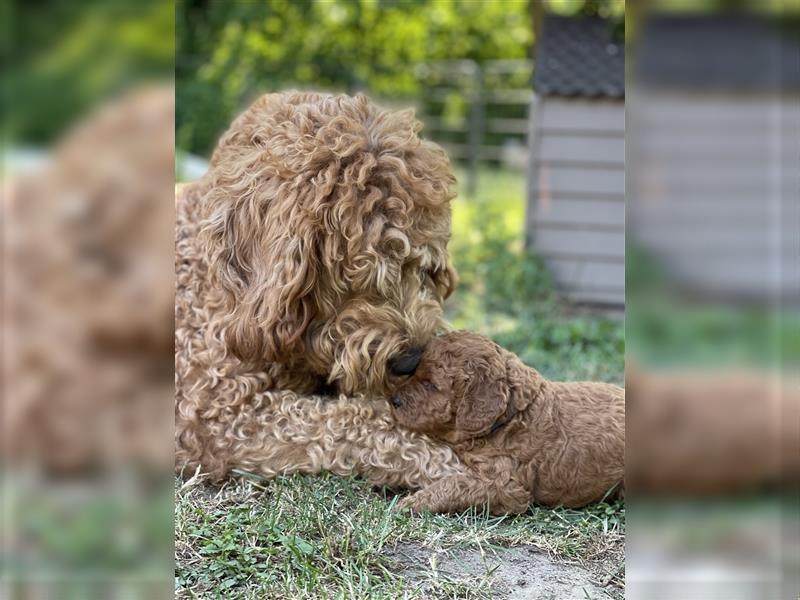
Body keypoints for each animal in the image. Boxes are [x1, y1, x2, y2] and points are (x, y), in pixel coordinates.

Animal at [174, 92, 466, 488]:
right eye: (354, 273)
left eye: (422, 265)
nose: (411, 361)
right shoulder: (216, 413)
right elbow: (346, 422)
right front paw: (445, 454)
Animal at [388, 330, 624, 512]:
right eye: (415, 373)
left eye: (430, 384)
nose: (393, 400)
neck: (511, 416)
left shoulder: (506, 486)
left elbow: (456, 484)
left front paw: (410, 504)